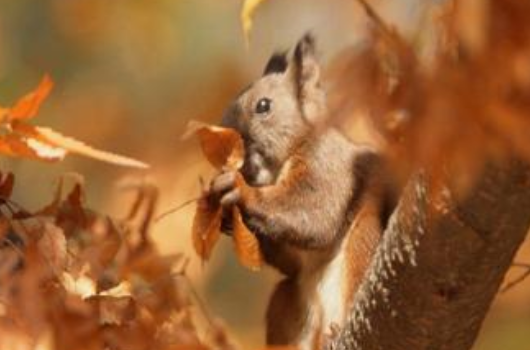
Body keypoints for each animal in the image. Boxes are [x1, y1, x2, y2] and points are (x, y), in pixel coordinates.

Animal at [206, 34, 392, 350]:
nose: (224, 142)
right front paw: (227, 217)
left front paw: (240, 190)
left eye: (263, 105)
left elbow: (313, 214)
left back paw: (335, 331)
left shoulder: (328, 167)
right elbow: (290, 260)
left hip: (363, 242)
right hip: (287, 302)